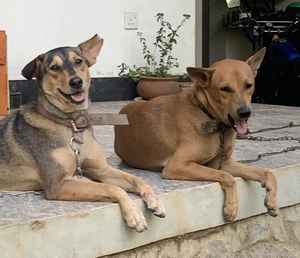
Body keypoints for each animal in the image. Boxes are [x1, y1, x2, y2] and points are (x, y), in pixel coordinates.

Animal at [0, 34, 164, 232]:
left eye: (78, 61)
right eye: (54, 67)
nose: (76, 82)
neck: (72, 125)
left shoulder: (100, 169)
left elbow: (137, 179)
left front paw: (154, 199)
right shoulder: (58, 184)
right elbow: (113, 188)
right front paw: (134, 214)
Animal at [114, 48, 276, 222]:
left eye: (249, 85)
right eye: (225, 89)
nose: (245, 113)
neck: (205, 112)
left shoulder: (224, 163)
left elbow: (267, 172)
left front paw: (272, 199)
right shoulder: (177, 165)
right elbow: (227, 177)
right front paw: (231, 207)